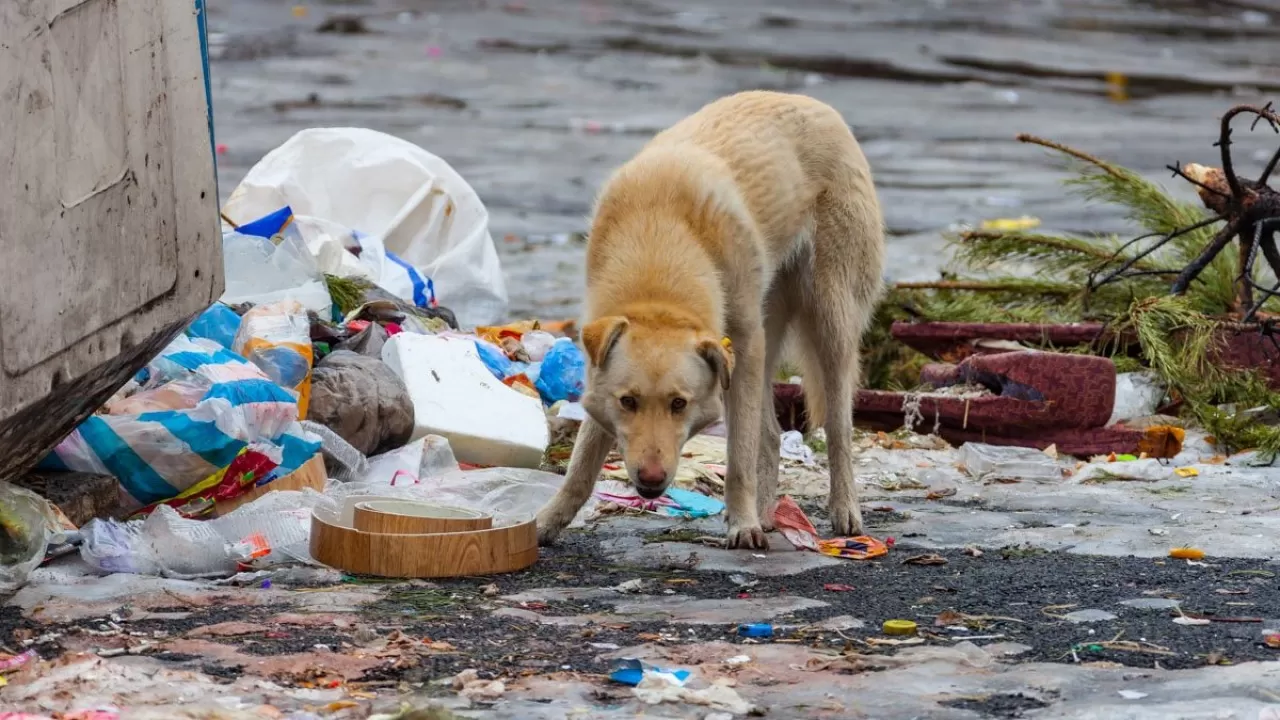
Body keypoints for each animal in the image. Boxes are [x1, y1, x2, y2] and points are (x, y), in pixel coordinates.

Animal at [535, 90, 885, 548]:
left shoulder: (743, 347)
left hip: (828, 323)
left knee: (838, 430)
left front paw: (742, 524)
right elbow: (580, 466)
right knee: (770, 435)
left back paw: (842, 512)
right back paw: (767, 515)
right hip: (767, 339)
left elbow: (739, 456)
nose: (650, 481)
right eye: (628, 402)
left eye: (679, 404)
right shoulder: (604, 375)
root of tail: (815, 104)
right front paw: (545, 522)